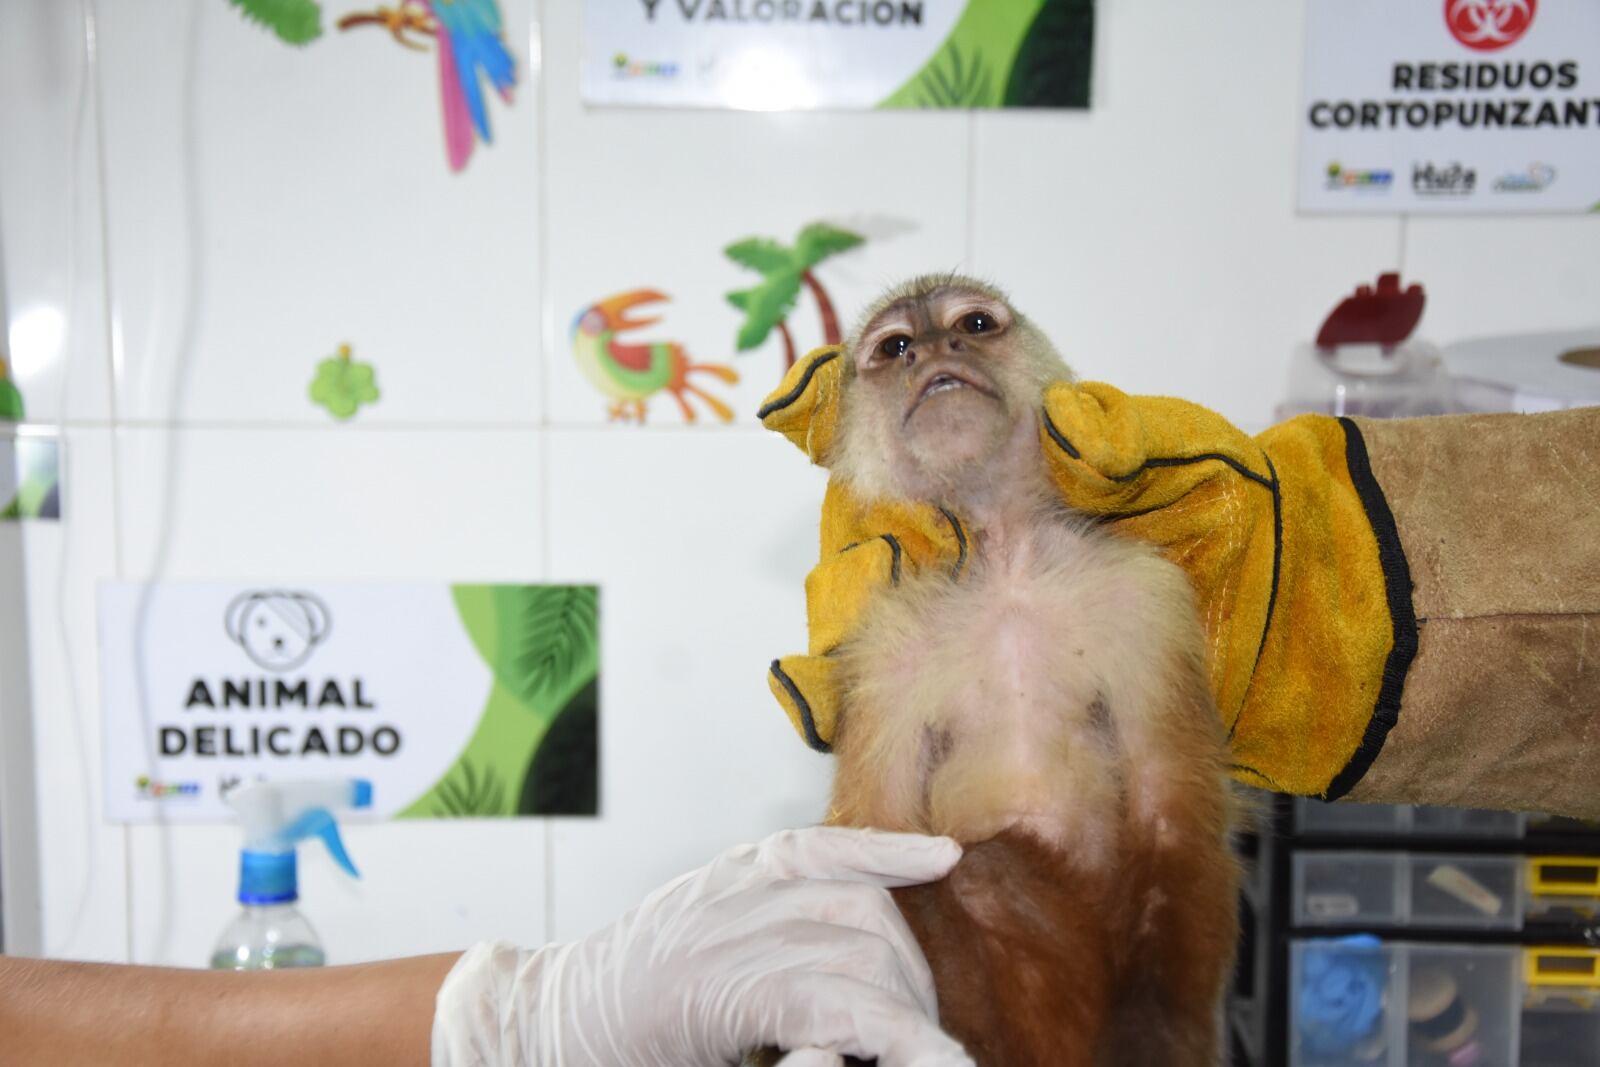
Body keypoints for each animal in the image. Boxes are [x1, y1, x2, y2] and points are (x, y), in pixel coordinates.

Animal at [753, 275, 1240, 1067]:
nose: (934, 350)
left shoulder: (1148, 603)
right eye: (895, 346)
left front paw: (1152, 1032)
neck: (1007, 564)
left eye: (974, 325)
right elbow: (876, 837)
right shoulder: (881, 647)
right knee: (955, 876)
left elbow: (1170, 817)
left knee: (984, 870)